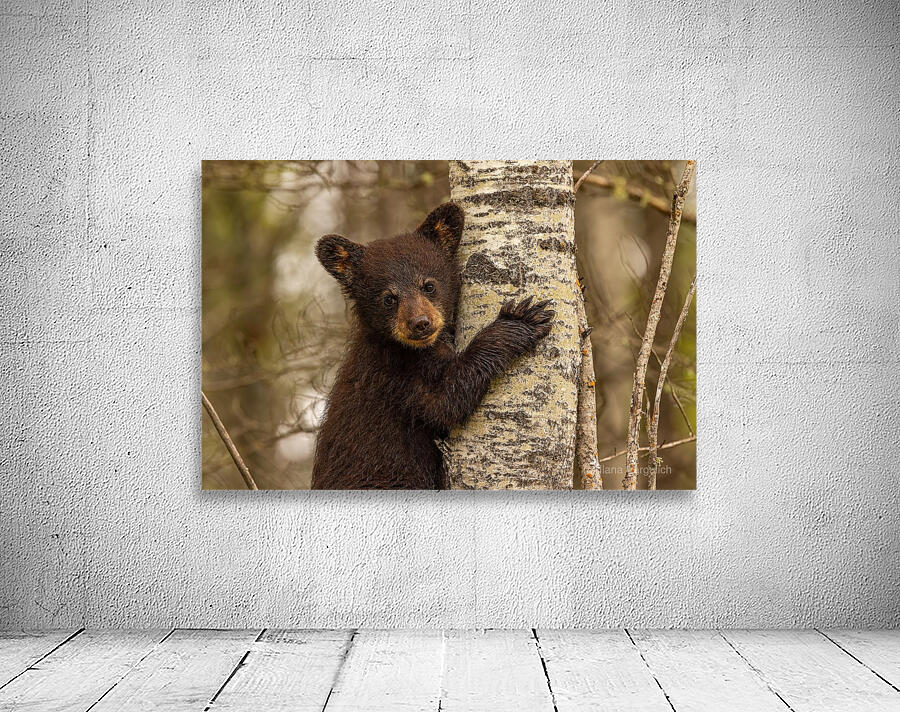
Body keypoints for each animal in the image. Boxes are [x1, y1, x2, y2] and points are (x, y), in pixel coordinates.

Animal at [311, 202, 554, 490]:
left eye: (428, 285)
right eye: (389, 298)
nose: (420, 323)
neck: (408, 348)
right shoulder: (398, 377)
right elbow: (446, 398)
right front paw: (520, 321)